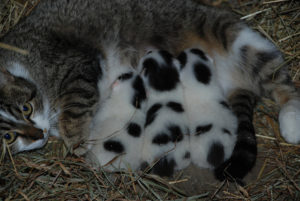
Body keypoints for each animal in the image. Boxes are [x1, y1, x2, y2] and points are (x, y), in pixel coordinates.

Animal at [0, 0, 300, 181]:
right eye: (8, 137)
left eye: (26, 108)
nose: (38, 134)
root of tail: (236, 82)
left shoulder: (78, 62)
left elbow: (76, 100)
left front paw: (76, 139)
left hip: (239, 39)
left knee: (283, 82)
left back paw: (292, 121)